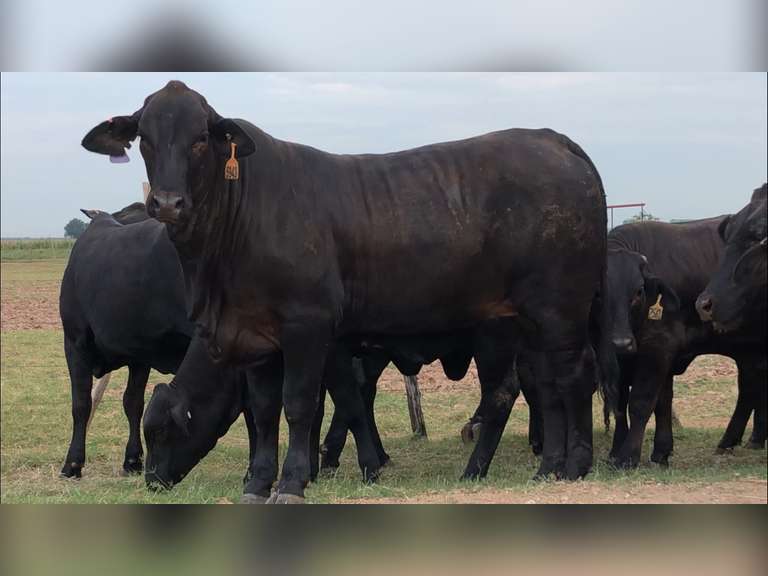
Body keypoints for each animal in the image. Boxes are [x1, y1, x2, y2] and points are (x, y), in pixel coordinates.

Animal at [82, 80, 610, 502]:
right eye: (145, 139)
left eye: (199, 140)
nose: (167, 203)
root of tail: (553, 140)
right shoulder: (254, 336)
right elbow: (266, 410)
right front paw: (257, 482)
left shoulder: (310, 327)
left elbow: (302, 405)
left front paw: (294, 482)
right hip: (521, 321)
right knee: (540, 384)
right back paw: (538, 467)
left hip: (559, 308)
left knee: (573, 375)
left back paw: (574, 464)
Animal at [605, 217, 766, 469]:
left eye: (639, 291)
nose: (621, 342)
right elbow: (642, 404)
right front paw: (656, 452)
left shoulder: (657, 348)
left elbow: (641, 402)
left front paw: (627, 457)